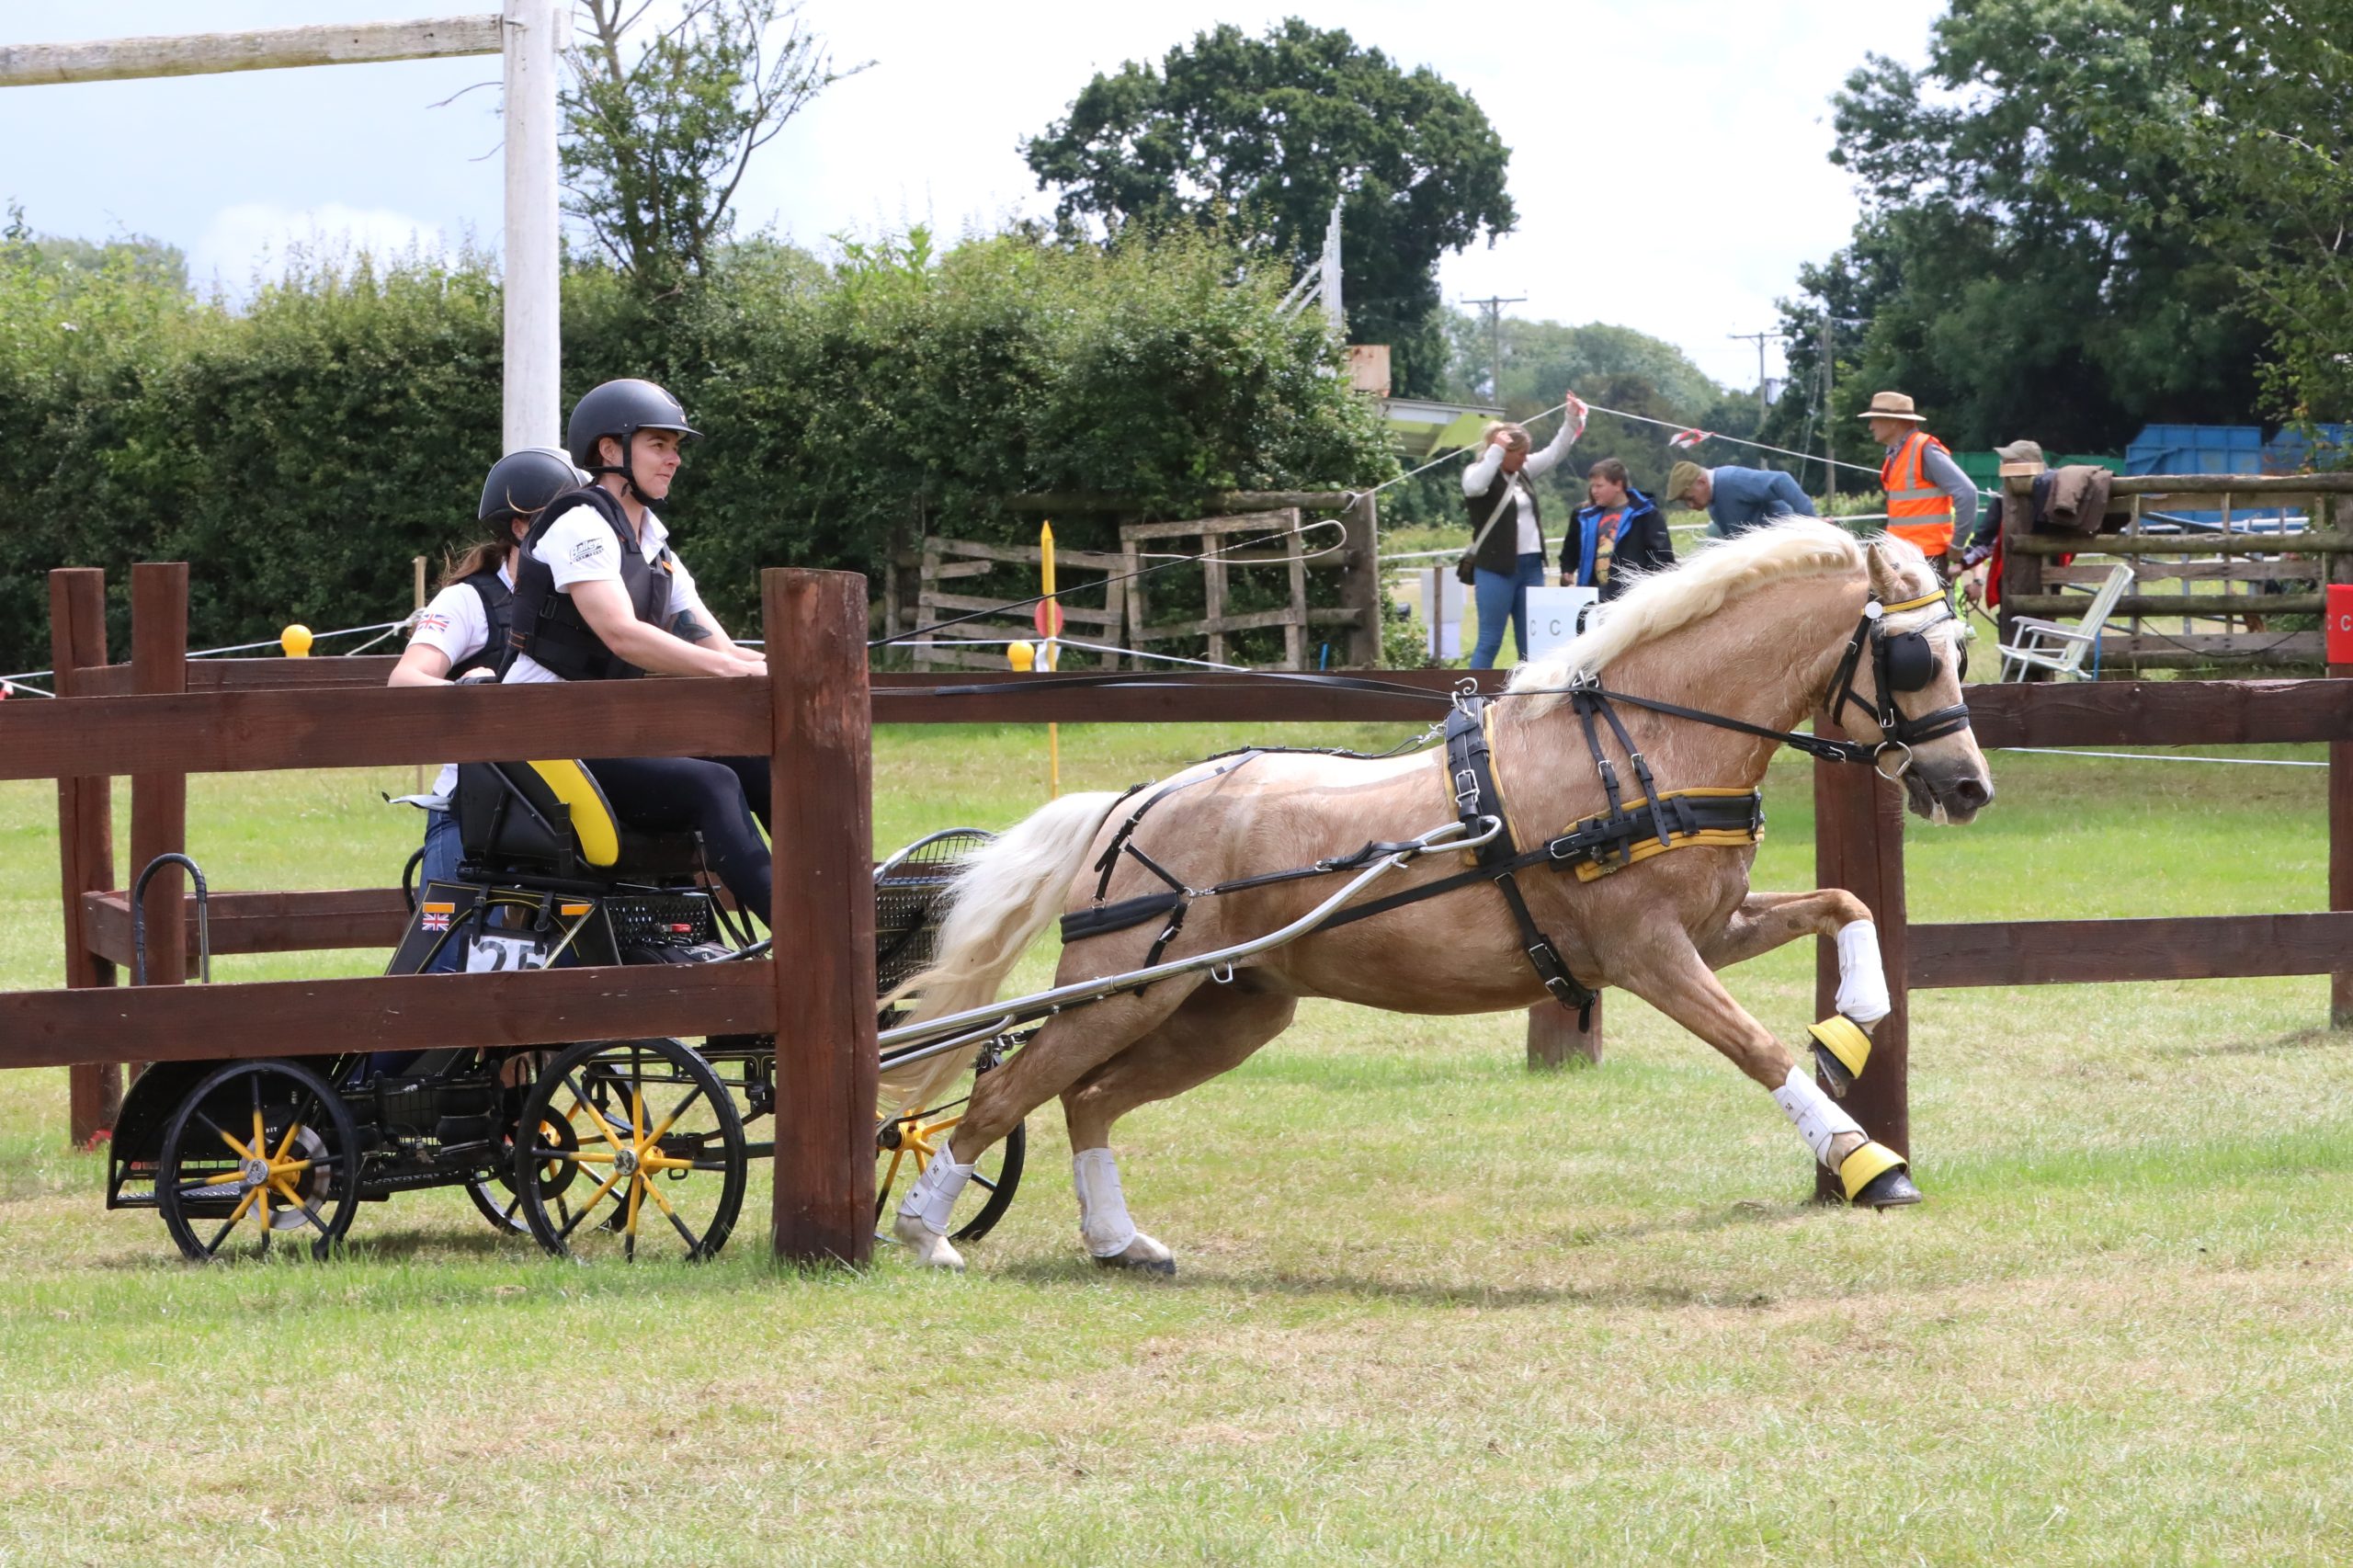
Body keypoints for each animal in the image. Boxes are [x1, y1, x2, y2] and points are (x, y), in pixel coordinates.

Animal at [887, 520, 1994, 1272]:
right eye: (1910, 657)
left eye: (1958, 651)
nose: (1969, 787)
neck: (1642, 745)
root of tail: (1133, 802)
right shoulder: (1648, 952)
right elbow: (1758, 1047)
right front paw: (1866, 1159)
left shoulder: (1710, 929)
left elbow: (1847, 904)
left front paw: (1854, 1021)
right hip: (1127, 986)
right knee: (1002, 1092)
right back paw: (924, 1227)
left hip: (1228, 1007)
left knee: (1087, 1096)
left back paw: (1116, 1239)